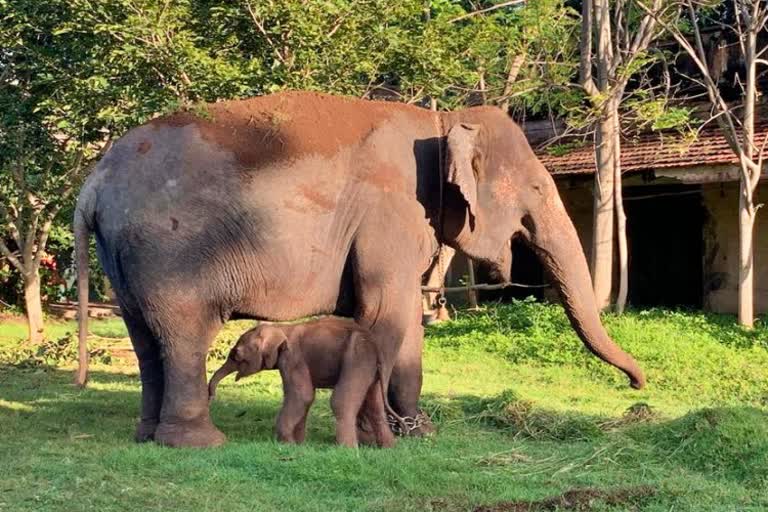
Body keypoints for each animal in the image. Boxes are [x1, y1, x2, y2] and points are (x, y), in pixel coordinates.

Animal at [207, 316, 404, 448]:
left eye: (236, 355)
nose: (211, 396)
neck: (280, 328)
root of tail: (375, 346)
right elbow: (304, 399)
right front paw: (300, 444)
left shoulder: (292, 358)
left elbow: (303, 396)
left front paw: (287, 444)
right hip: (370, 368)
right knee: (374, 406)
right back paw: (388, 448)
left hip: (357, 357)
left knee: (341, 402)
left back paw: (346, 449)